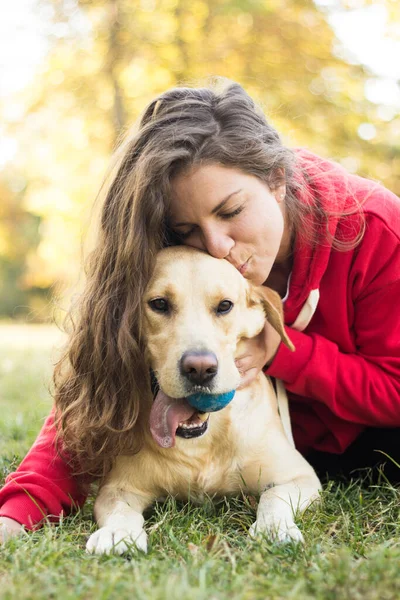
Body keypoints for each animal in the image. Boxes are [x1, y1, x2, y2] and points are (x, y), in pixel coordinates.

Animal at [86, 246, 320, 556]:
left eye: (224, 306)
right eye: (159, 304)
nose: (199, 369)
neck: (201, 443)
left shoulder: (300, 476)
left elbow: (274, 497)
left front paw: (274, 527)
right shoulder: (117, 487)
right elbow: (120, 511)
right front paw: (117, 532)